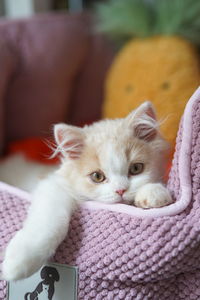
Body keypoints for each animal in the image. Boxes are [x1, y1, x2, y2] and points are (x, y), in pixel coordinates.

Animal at [1, 101, 172, 282]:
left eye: (136, 168)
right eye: (97, 176)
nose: (120, 190)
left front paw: (153, 194)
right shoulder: (53, 186)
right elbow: (49, 221)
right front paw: (18, 262)